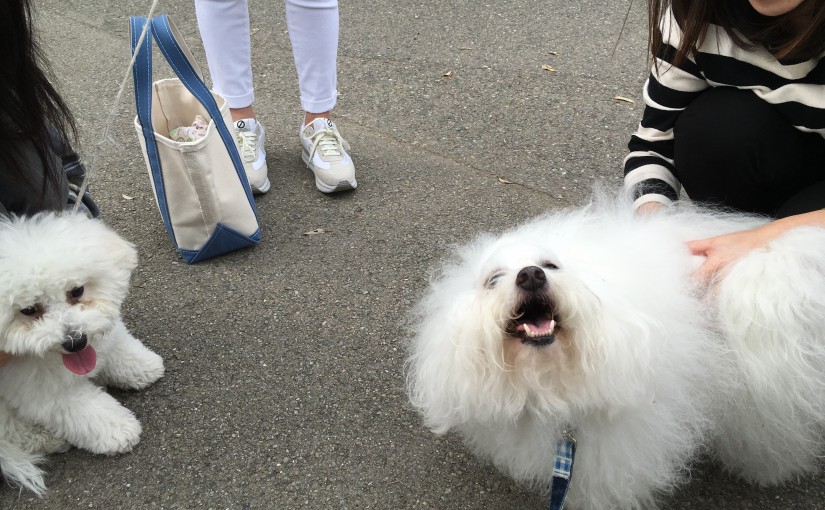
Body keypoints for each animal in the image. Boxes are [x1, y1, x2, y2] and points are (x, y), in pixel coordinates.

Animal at [0, 213, 166, 496]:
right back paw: (48, 439)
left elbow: (118, 346)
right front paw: (119, 430)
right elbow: (88, 411)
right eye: (29, 310)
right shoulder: (47, 392)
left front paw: (142, 367)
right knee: (12, 432)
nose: (75, 341)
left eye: (76, 291)